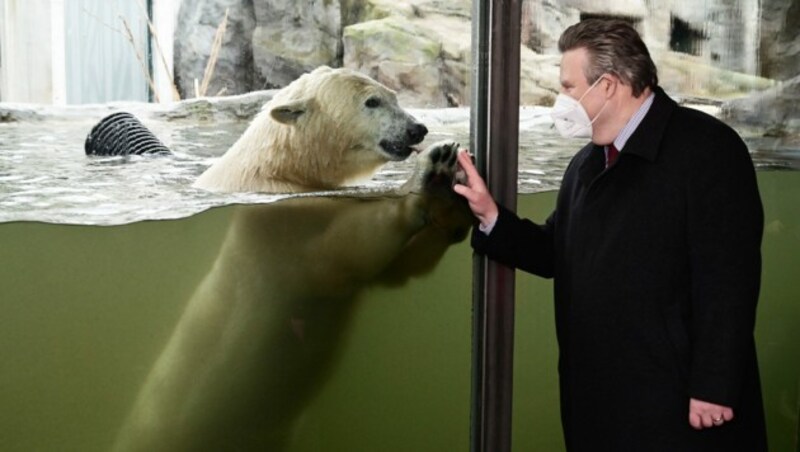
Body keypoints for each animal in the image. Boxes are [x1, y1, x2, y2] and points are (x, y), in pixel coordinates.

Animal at [113, 68, 476, 452]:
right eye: (372, 102)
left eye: (394, 96)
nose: (416, 129)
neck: (282, 166)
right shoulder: (280, 225)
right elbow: (340, 256)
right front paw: (427, 174)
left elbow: (396, 271)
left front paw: (453, 202)